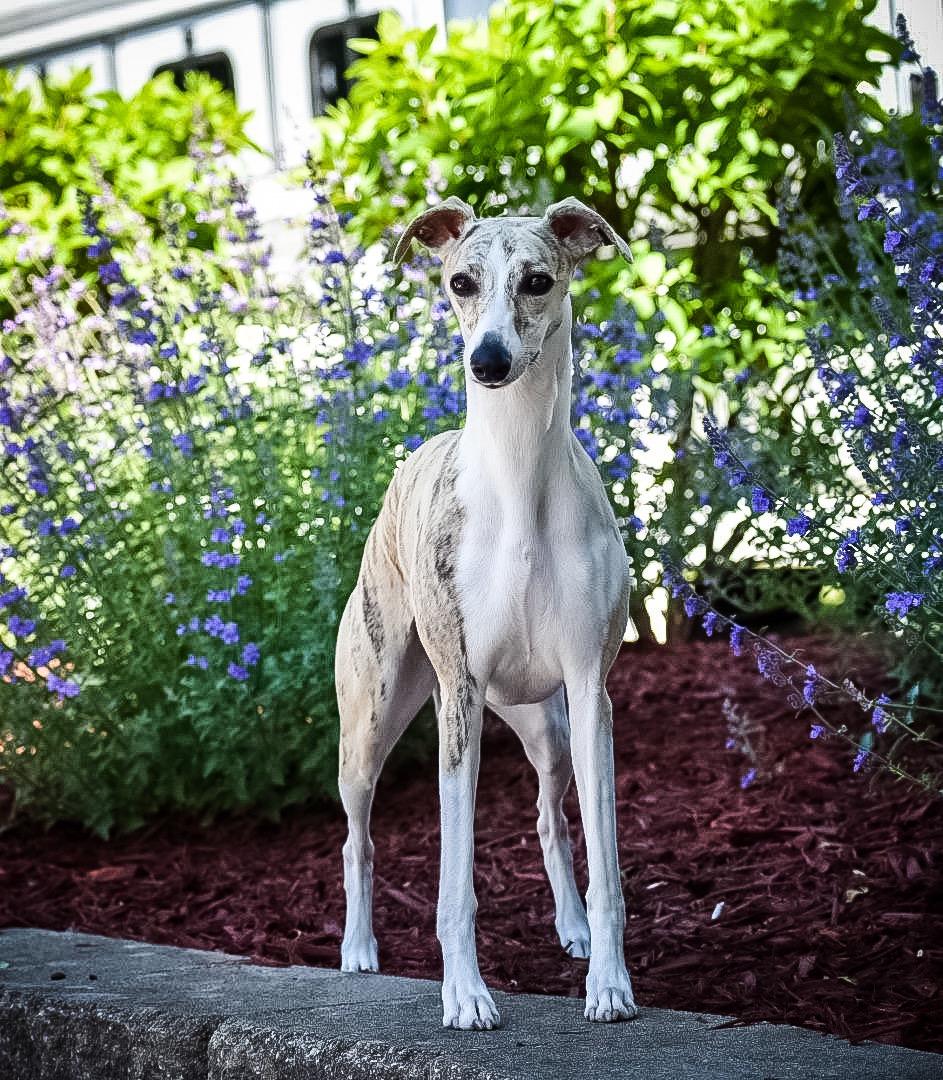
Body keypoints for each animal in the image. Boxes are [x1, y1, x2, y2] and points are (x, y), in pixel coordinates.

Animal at [335, 195, 636, 1031]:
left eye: (537, 280)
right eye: (460, 282)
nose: (489, 361)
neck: (519, 479)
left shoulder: (590, 692)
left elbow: (604, 862)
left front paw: (608, 983)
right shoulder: (460, 703)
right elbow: (454, 883)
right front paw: (466, 995)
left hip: (545, 726)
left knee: (548, 819)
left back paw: (569, 926)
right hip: (371, 721)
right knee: (356, 839)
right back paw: (357, 948)